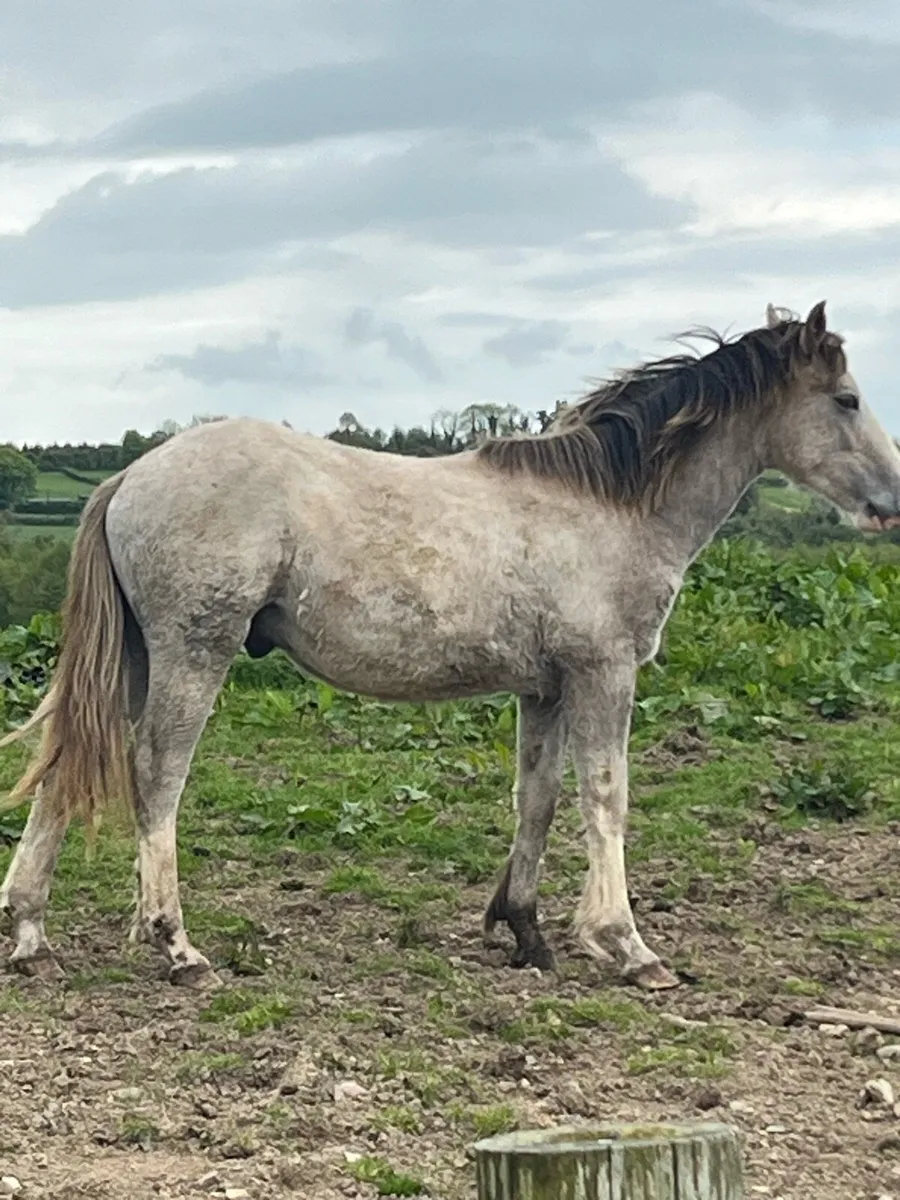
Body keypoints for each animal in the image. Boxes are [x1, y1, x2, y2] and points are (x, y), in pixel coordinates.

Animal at [2, 300, 899, 992]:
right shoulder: (604, 674)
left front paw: (524, 931)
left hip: (134, 661)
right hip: (193, 653)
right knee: (157, 774)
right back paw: (176, 944)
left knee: (65, 762)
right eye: (847, 399)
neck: (611, 505)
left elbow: (536, 799)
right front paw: (626, 945)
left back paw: (30, 935)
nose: (890, 501)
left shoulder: (545, 688)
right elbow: (606, 798)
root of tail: (131, 476)